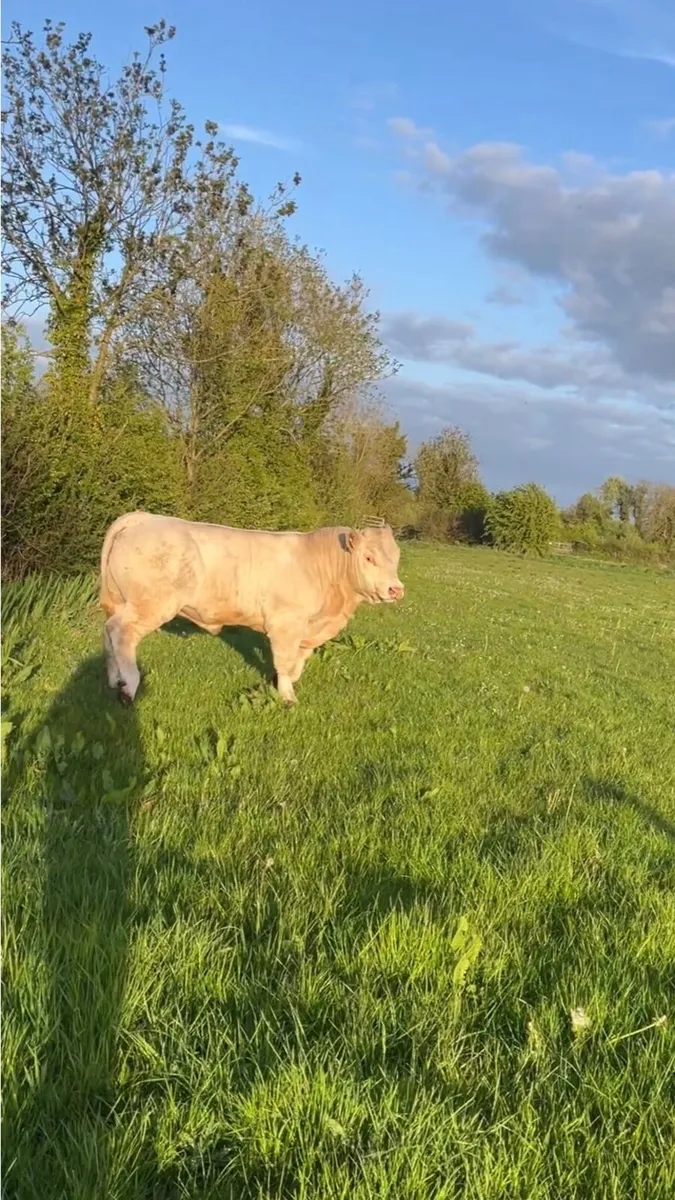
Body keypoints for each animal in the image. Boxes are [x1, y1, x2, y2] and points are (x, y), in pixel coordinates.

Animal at [99, 512, 405, 706]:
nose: (396, 589)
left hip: (121, 602)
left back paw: (114, 681)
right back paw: (128, 687)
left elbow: (297, 663)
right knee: (122, 634)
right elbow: (285, 661)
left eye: (396, 558)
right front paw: (288, 698)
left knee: (107, 633)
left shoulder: (308, 629)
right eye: (369, 557)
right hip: (150, 605)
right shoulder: (285, 623)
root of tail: (145, 517)